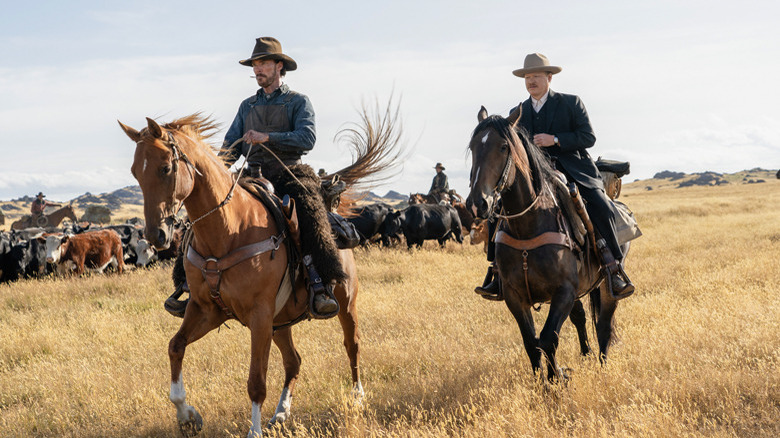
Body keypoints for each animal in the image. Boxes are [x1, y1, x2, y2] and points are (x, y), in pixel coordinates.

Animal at [122, 110, 402, 438]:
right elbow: (175, 348)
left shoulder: (259, 315)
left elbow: (256, 380)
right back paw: (281, 413)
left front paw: (253, 431)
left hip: (345, 303)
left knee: (352, 345)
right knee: (294, 361)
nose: (157, 235)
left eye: (165, 168)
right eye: (135, 173)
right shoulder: (206, 309)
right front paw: (188, 416)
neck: (229, 229)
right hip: (280, 323)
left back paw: (357, 397)